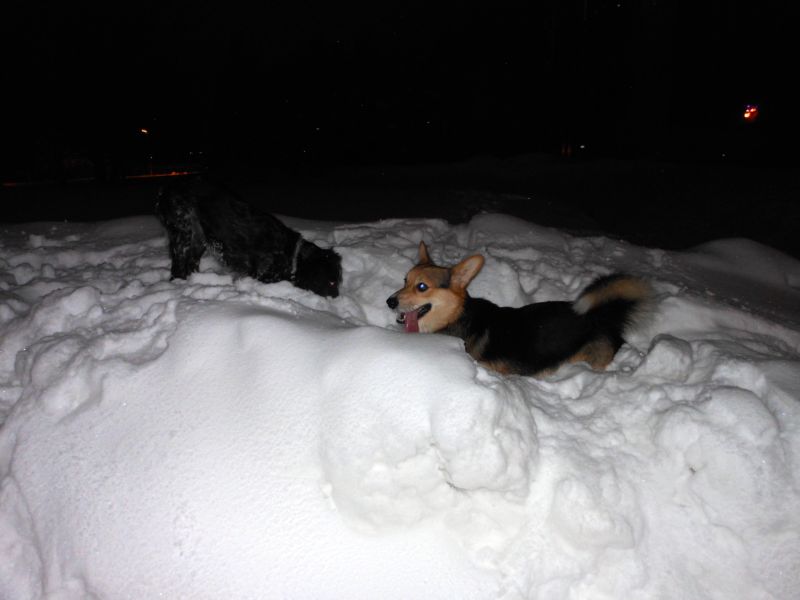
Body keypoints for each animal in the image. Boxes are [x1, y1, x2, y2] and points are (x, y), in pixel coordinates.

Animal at [156, 180, 342, 297]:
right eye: (332, 283)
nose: (336, 297)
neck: (291, 253)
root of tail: (167, 189)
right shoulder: (262, 274)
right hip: (183, 234)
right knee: (178, 268)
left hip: (198, 240)